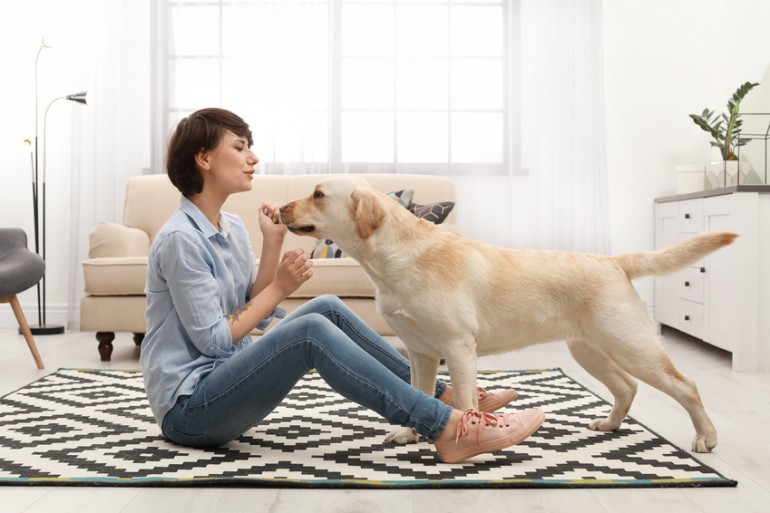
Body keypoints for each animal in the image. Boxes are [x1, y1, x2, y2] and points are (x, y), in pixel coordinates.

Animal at [280, 177, 736, 452]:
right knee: (626, 387)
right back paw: (609, 425)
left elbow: (464, 399)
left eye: (318, 194)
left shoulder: (458, 347)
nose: (281, 208)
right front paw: (410, 433)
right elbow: (417, 391)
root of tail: (614, 261)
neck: (393, 256)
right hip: (589, 349)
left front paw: (466, 441)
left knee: (686, 386)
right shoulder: (421, 352)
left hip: (630, 344)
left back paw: (707, 437)